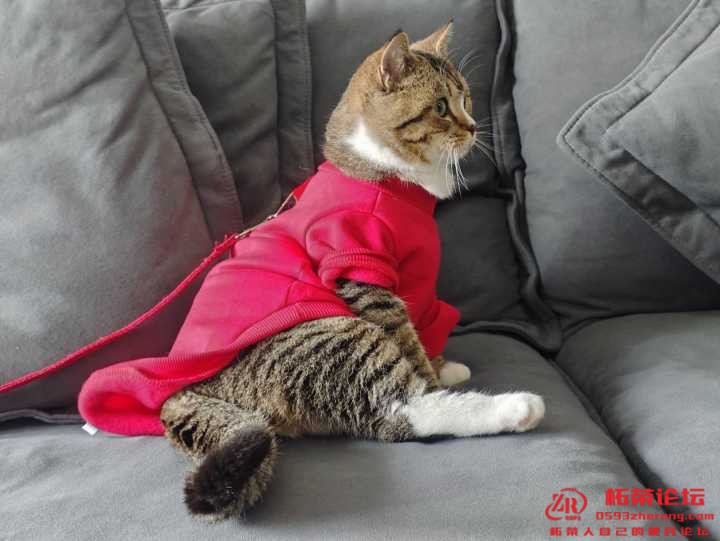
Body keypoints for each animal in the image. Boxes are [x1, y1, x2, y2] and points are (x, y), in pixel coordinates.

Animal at [159, 22, 545, 521]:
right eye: (441, 107)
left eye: (466, 99)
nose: (474, 126)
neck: (389, 177)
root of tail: (194, 387)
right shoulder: (362, 269)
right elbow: (406, 339)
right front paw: (433, 373)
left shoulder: (412, 282)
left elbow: (420, 328)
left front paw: (441, 363)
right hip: (336, 333)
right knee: (402, 412)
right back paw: (515, 408)